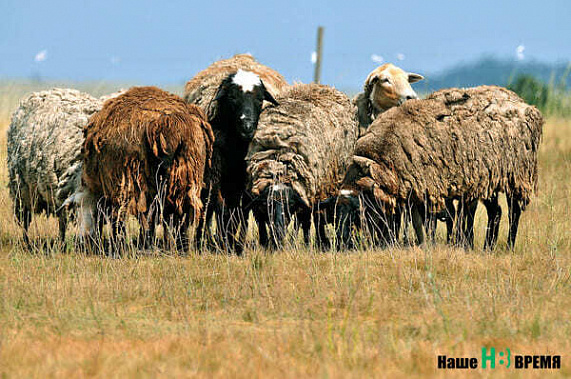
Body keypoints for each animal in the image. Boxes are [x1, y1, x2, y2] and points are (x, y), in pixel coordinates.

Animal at [6, 87, 120, 245]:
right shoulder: (59, 192)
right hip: (21, 191)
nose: (86, 238)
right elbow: (62, 222)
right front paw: (62, 244)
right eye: (76, 206)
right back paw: (26, 242)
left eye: (97, 209)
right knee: (25, 220)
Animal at [80, 86, 214, 252]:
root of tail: (171, 123)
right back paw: (178, 246)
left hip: (134, 184)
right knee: (179, 213)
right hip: (187, 178)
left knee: (138, 217)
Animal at [248, 83, 360, 249]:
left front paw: (305, 243)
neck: (278, 159)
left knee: (315, 219)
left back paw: (320, 242)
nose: (279, 231)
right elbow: (261, 223)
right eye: (268, 204)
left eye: (289, 204)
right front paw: (266, 243)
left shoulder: (306, 192)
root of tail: (318, 86)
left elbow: (306, 221)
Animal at [328, 85, 544, 249]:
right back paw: (486, 247)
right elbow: (414, 221)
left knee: (513, 212)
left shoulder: (427, 188)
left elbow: (428, 222)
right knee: (495, 212)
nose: (342, 244)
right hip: (486, 178)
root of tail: (525, 105)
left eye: (357, 213)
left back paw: (508, 245)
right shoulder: (412, 190)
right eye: (336, 215)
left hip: (516, 175)